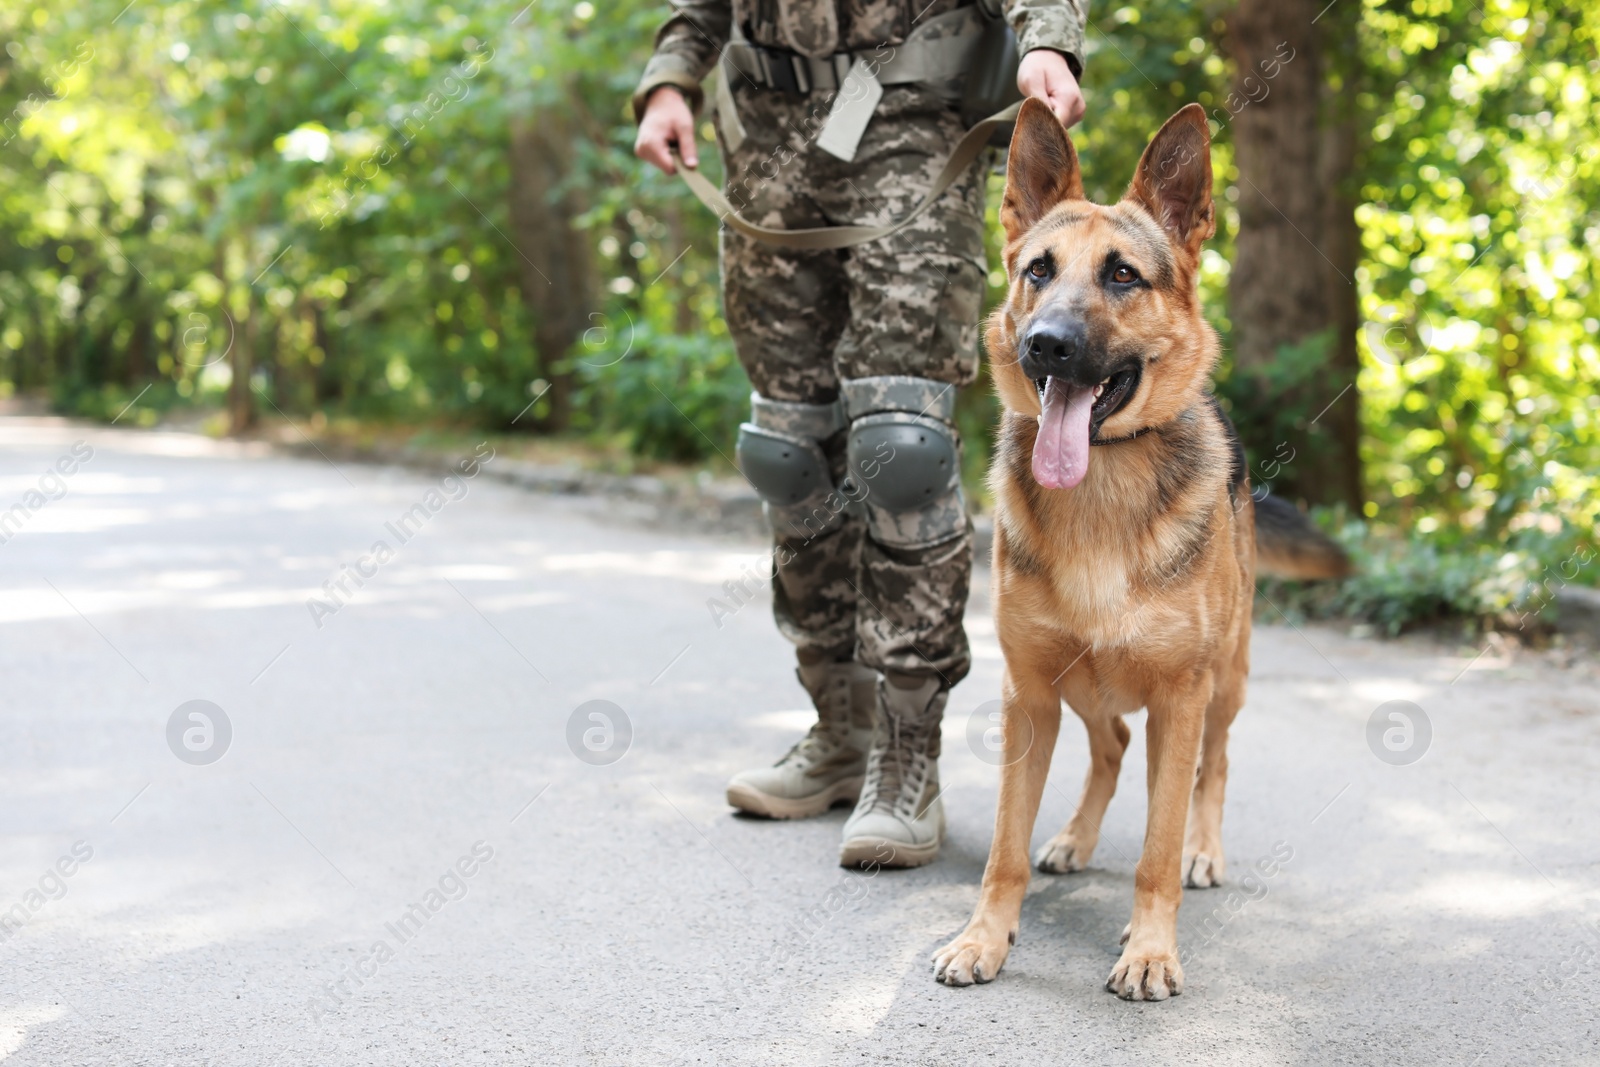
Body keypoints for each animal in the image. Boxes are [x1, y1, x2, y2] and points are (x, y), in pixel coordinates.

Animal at [934, 99, 1344, 1004]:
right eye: (1038, 270)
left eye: (1122, 275)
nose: (1047, 344)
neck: (1100, 494)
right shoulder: (1027, 696)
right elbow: (1003, 850)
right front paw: (985, 936)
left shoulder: (1181, 698)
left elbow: (1156, 845)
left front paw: (1151, 948)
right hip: (1080, 683)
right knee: (1113, 746)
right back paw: (1074, 838)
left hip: (1224, 682)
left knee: (1209, 770)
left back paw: (1204, 850)